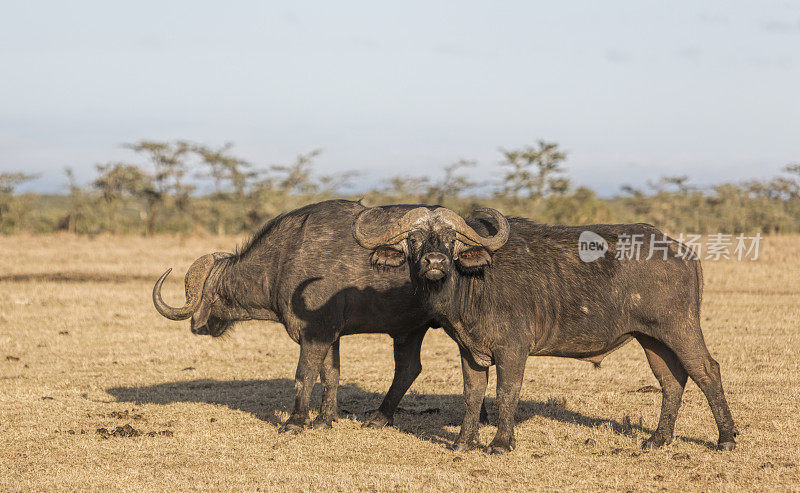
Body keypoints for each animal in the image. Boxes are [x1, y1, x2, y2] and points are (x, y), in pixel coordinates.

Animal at [151, 199, 488, 430]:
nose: (198, 326)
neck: (283, 261)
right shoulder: (330, 337)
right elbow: (331, 375)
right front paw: (325, 419)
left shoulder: (314, 334)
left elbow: (304, 374)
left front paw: (295, 421)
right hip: (410, 331)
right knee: (410, 369)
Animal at [354, 205, 740, 454]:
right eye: (414, 238)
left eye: (450, 238)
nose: (434, 262)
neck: (473, 281)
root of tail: (680, 250)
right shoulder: (469, 350)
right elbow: (472, 394)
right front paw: (463, 442)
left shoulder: (513, 349)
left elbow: (507, 392)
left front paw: (500, 443)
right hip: (652, 339)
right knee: (672, 380)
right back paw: (658, 440)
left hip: (680, 328)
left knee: (707, 371)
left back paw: (726, 438)